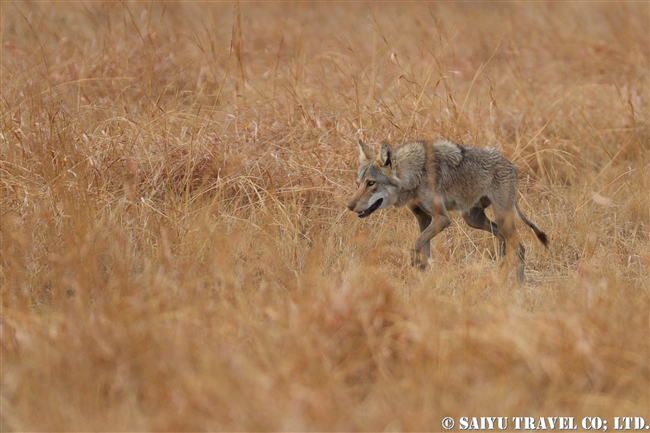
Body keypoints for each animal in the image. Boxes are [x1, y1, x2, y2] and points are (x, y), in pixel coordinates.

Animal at [344, 138, 548, 280]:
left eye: (371, 183)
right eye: (358, 184)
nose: (349, 206)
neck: (415, 176)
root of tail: (513, 165)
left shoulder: (442, 218)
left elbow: (416, 244)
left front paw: (415, 264)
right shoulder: (423, 218)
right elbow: (424, 247)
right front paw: (422, 273)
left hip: (501, 218)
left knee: (520, 248)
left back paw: (516, 285)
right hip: (473, 219)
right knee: (501, 238)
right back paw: (500, 272)